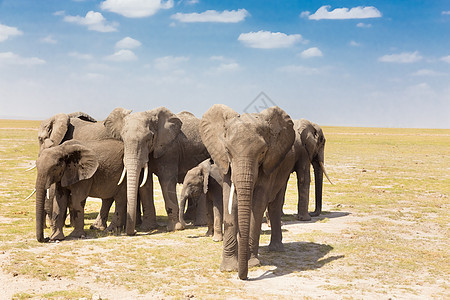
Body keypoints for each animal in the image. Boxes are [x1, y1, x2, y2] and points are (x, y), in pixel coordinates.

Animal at [105, 106, 209, 236]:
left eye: (148, 139)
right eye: (123, 139)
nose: (134, 231)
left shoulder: (169, 149)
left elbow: (166, 181)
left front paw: (175, 228)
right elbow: (145, 184)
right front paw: (147, 228)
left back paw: (198, 223)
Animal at [200, 104, 296, 280]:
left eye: (263, 152)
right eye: (228, 151)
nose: (243, 276)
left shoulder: (269, 164)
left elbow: (257, 204)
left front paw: (252, 264)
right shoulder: (224, 163)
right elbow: (229, 203)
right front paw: (228, 268)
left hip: (283, 170)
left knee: (274, 205)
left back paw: (276, 249)